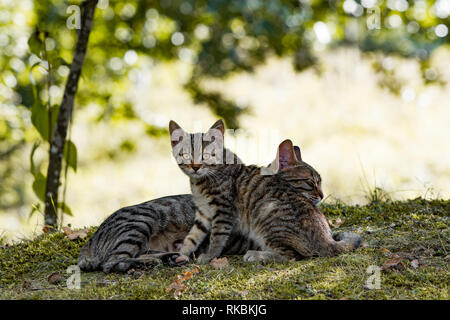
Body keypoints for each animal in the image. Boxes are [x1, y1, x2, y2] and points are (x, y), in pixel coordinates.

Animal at [171, 119, 364, 264]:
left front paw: (211, 255)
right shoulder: (203, 213)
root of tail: (326, 239)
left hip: (267, 219)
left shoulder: (223, 210)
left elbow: (217, 237)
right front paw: (183, 254)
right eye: (186, 155)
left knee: (292, 256)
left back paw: (257, 255)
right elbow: (193, 236)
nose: (196, 167)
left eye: (207, 155)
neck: (200, 182)